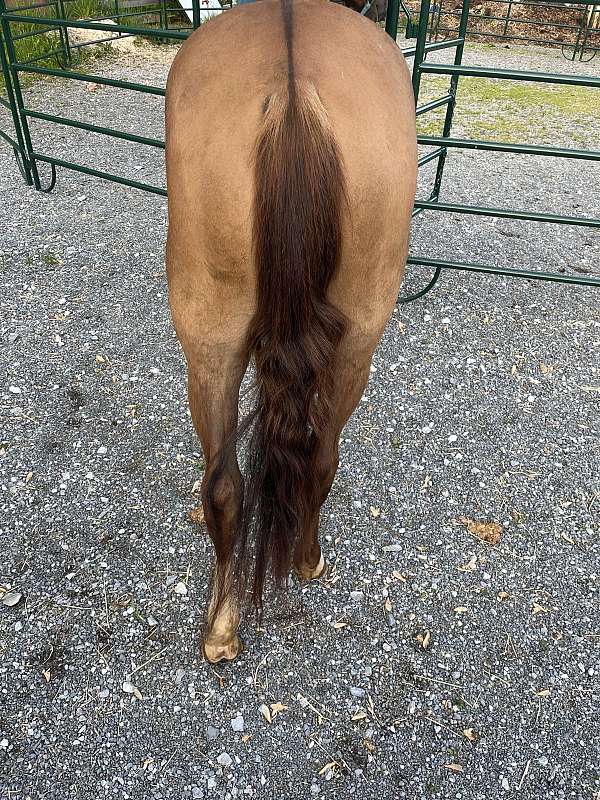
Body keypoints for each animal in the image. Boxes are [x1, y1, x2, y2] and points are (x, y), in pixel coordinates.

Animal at [165, 0, 417, 662]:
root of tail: (294, 95)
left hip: (209, 339)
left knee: (225, 483)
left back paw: (221, 625)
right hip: (358, 336)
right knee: (323, 453)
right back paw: (307, 559)